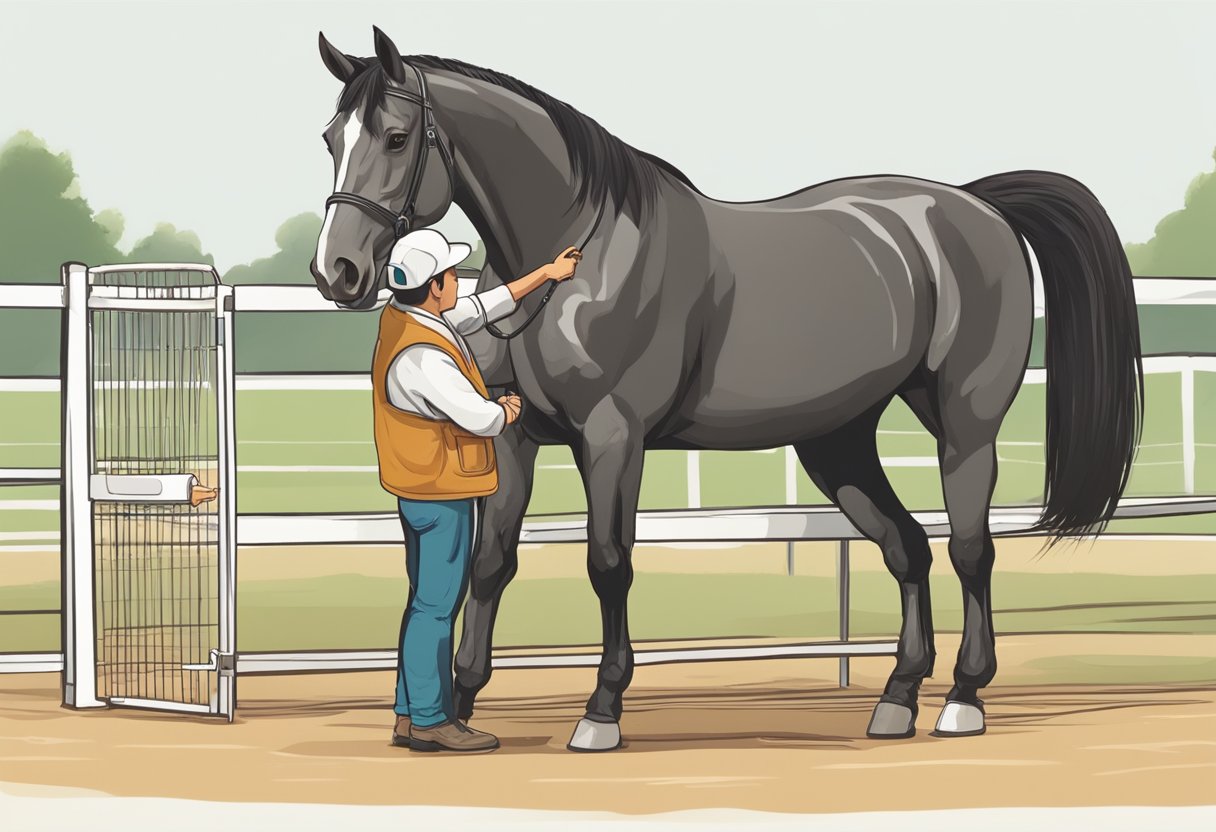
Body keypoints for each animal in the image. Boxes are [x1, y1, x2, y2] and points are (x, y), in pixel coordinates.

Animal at [311, 27, 1138, 754]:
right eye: (330, 138)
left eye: (394, 137)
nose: (337, 271)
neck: (584, 253)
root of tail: (976, 204)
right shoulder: (511, 434)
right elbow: (491, 564)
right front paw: (459, 706)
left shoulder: (613, 436)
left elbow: (608, 562)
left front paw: (602, 712)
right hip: (837, 440)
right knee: (907, 548)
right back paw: (898, 700)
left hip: (966, 423)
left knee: (969, 548)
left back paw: (963, 700)